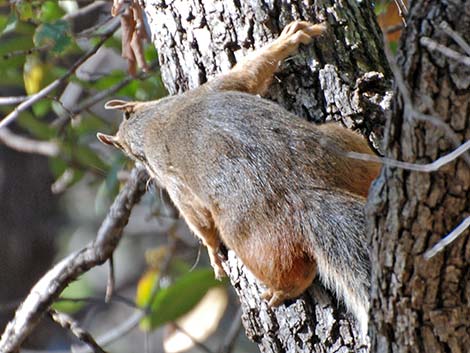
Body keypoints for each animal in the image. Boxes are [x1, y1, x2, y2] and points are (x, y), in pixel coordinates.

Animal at [97, 20, 380, 334]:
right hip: (345, 147)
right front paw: (288, 40)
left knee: (286, 268)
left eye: (138, 158)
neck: (153, 122)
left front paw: (212, 255)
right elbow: (246, 74)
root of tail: (308, 190)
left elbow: (200, 223)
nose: (145, 175)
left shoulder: (177, 186)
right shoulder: (215, 88)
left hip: (250, 235)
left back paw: (283, 289)